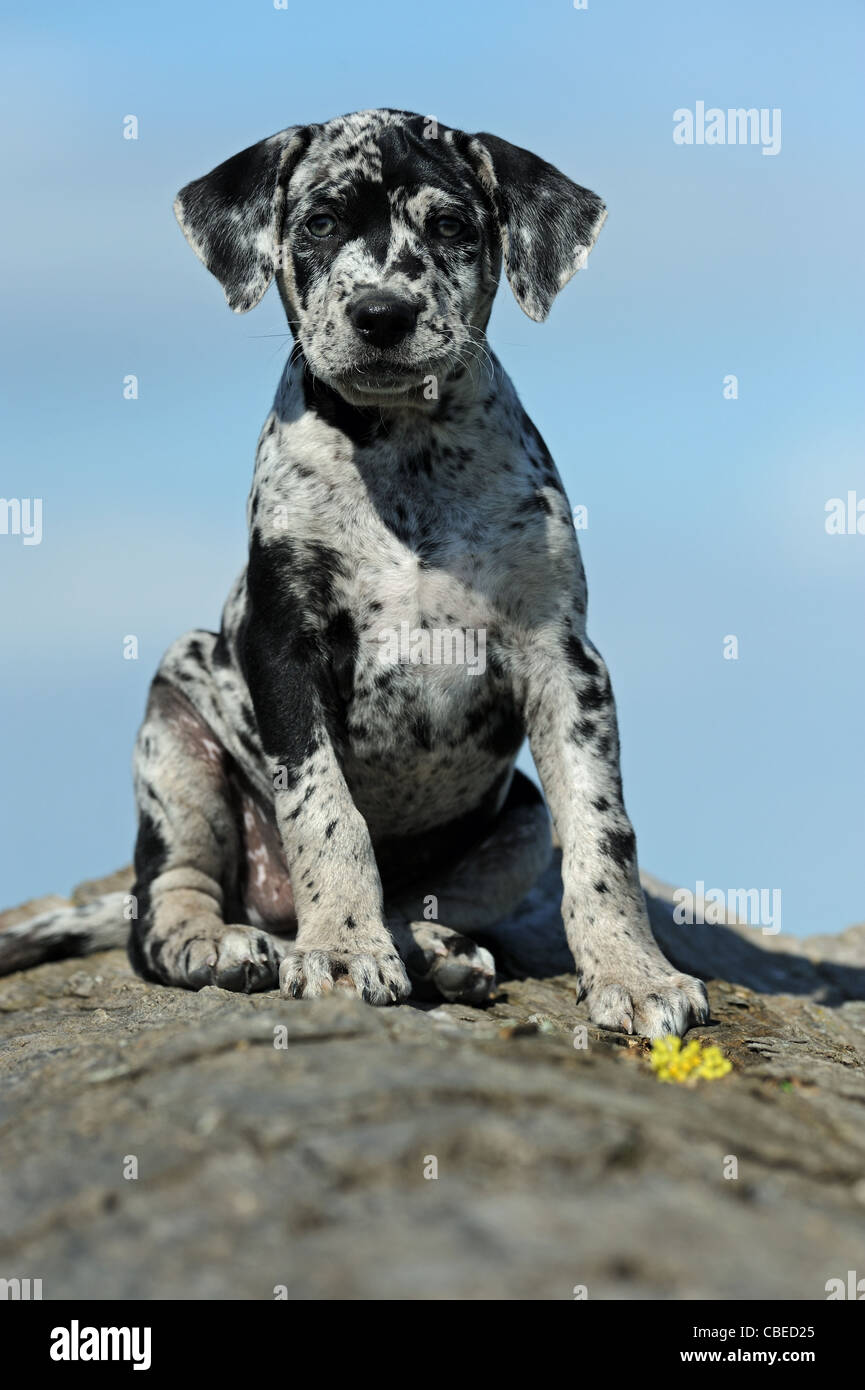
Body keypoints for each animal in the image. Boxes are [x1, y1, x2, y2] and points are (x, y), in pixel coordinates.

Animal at [1, 108, 712, 1039]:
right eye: (319, 224)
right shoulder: (284, 649)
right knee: (162, 901)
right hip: (175, 728)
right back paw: (217, 942)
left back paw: (435, 951)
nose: (382, 314)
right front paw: (340, 949)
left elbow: (603, 832)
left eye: (449, 226)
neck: (404, 450)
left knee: (425, 900)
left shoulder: (565, 662)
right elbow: (326, 813)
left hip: (518, 824)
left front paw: (632, 971)